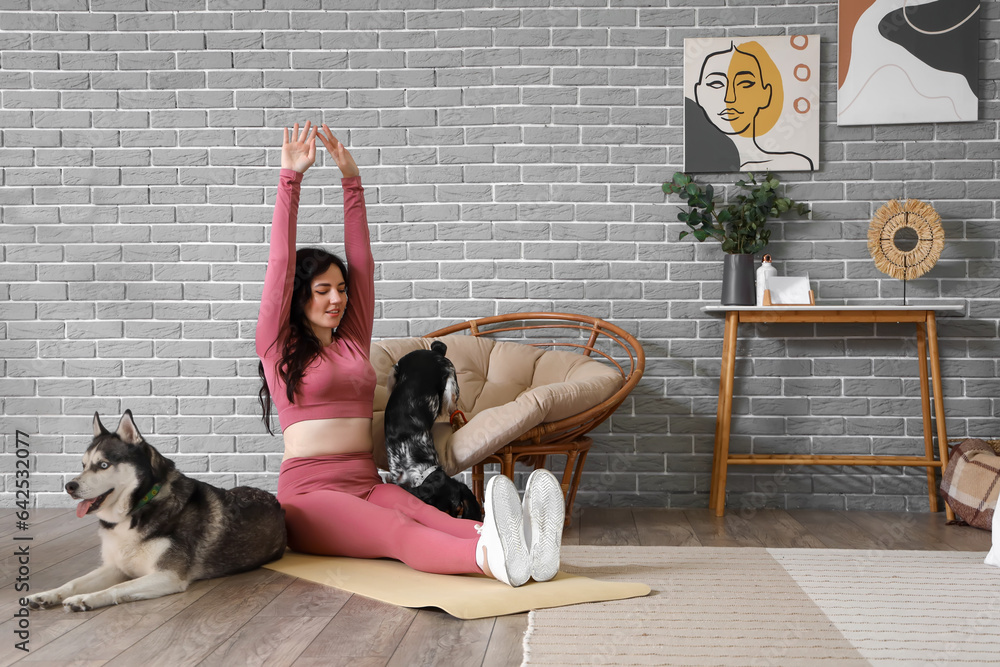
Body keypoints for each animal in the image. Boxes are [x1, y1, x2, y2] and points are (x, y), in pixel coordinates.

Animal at [27, 410, 286, 612]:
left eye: (103, 465)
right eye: (83, 465)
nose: (69, 486)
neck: (138, 508)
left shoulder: (168, 576)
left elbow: (118, 587)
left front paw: (85, 599)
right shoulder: (115, 567)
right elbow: (74, 582)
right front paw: (46, 595)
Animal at [382, 344, 484, 520]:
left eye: (460, 510)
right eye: (441, 513)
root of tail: (434, 351)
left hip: (450, 385)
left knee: (453, 410)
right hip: (393, 374)